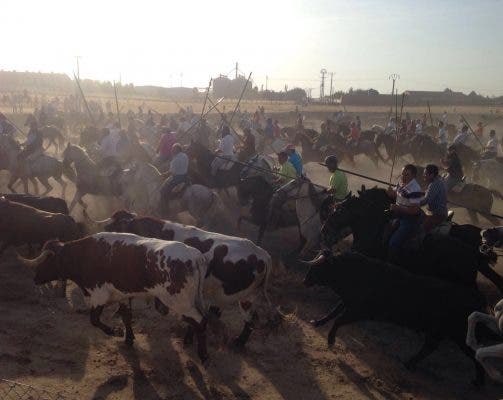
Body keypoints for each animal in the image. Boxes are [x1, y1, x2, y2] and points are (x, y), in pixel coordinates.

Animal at [18, 231, 212, 362]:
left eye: (46, 261)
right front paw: (128, 338)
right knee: (197, 319)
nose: (35, 278)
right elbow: (126, 317)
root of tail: (196, 256)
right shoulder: (122, 296)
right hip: (190, 301)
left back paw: (203, 354)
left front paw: (114, 331)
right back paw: (189, 341)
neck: (84, 255)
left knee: (200, 320)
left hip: (180, 301)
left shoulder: (98, 295)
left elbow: (94, 320)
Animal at [83, 209, 280, 350]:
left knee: (246, 320)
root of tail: (262, 254)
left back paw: (236, 343)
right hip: (244, 297)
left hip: (240, 298)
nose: (103, 233)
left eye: (115, 225)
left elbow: (127, 313)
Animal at [304, 252, 488, 386]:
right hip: (438, 333)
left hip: (460, 336)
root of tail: (477, 299)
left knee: (475, 353)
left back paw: (477, 382)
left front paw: (331, 340)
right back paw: (408, 364)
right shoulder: (348, 302)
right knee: (429, 347)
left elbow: (339, 320)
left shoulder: (358, 311)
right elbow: (332, 312)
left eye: (317, 269)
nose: (305, 280)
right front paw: (317, 323)